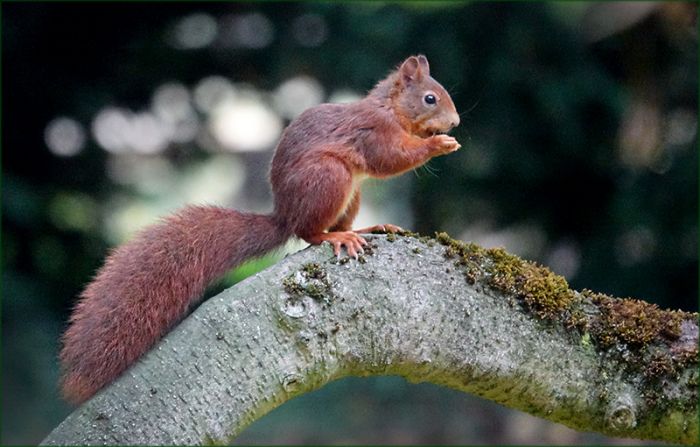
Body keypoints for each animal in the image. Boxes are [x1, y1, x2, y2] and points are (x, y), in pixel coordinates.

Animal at [60, 55, 461, 404]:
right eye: (430, 98)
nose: (455, 123)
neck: (390, 109)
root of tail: (285, 215)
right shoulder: (373, 133)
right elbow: (392, 158)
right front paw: (436, 144)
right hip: (329, 178)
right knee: (310, 233)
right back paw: (335, 236)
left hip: (351, 194)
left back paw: (367, 226)